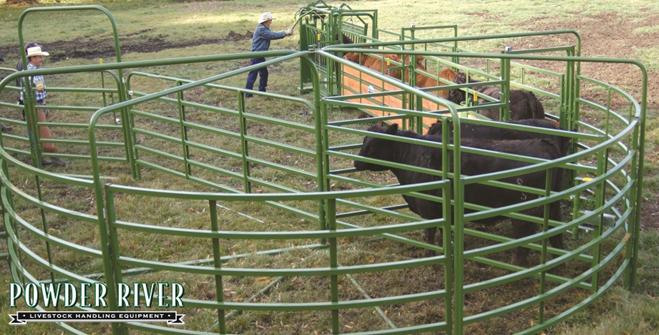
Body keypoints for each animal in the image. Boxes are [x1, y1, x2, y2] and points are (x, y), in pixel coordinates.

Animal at [356, 123, 568, 266]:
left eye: (374, 143)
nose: (356, 163)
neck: (413, 154)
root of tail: (543, 144)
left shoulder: (429, 210)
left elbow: (429, 235)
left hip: (524, 213)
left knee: (524, 241)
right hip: (553, 206)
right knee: (556, 235)